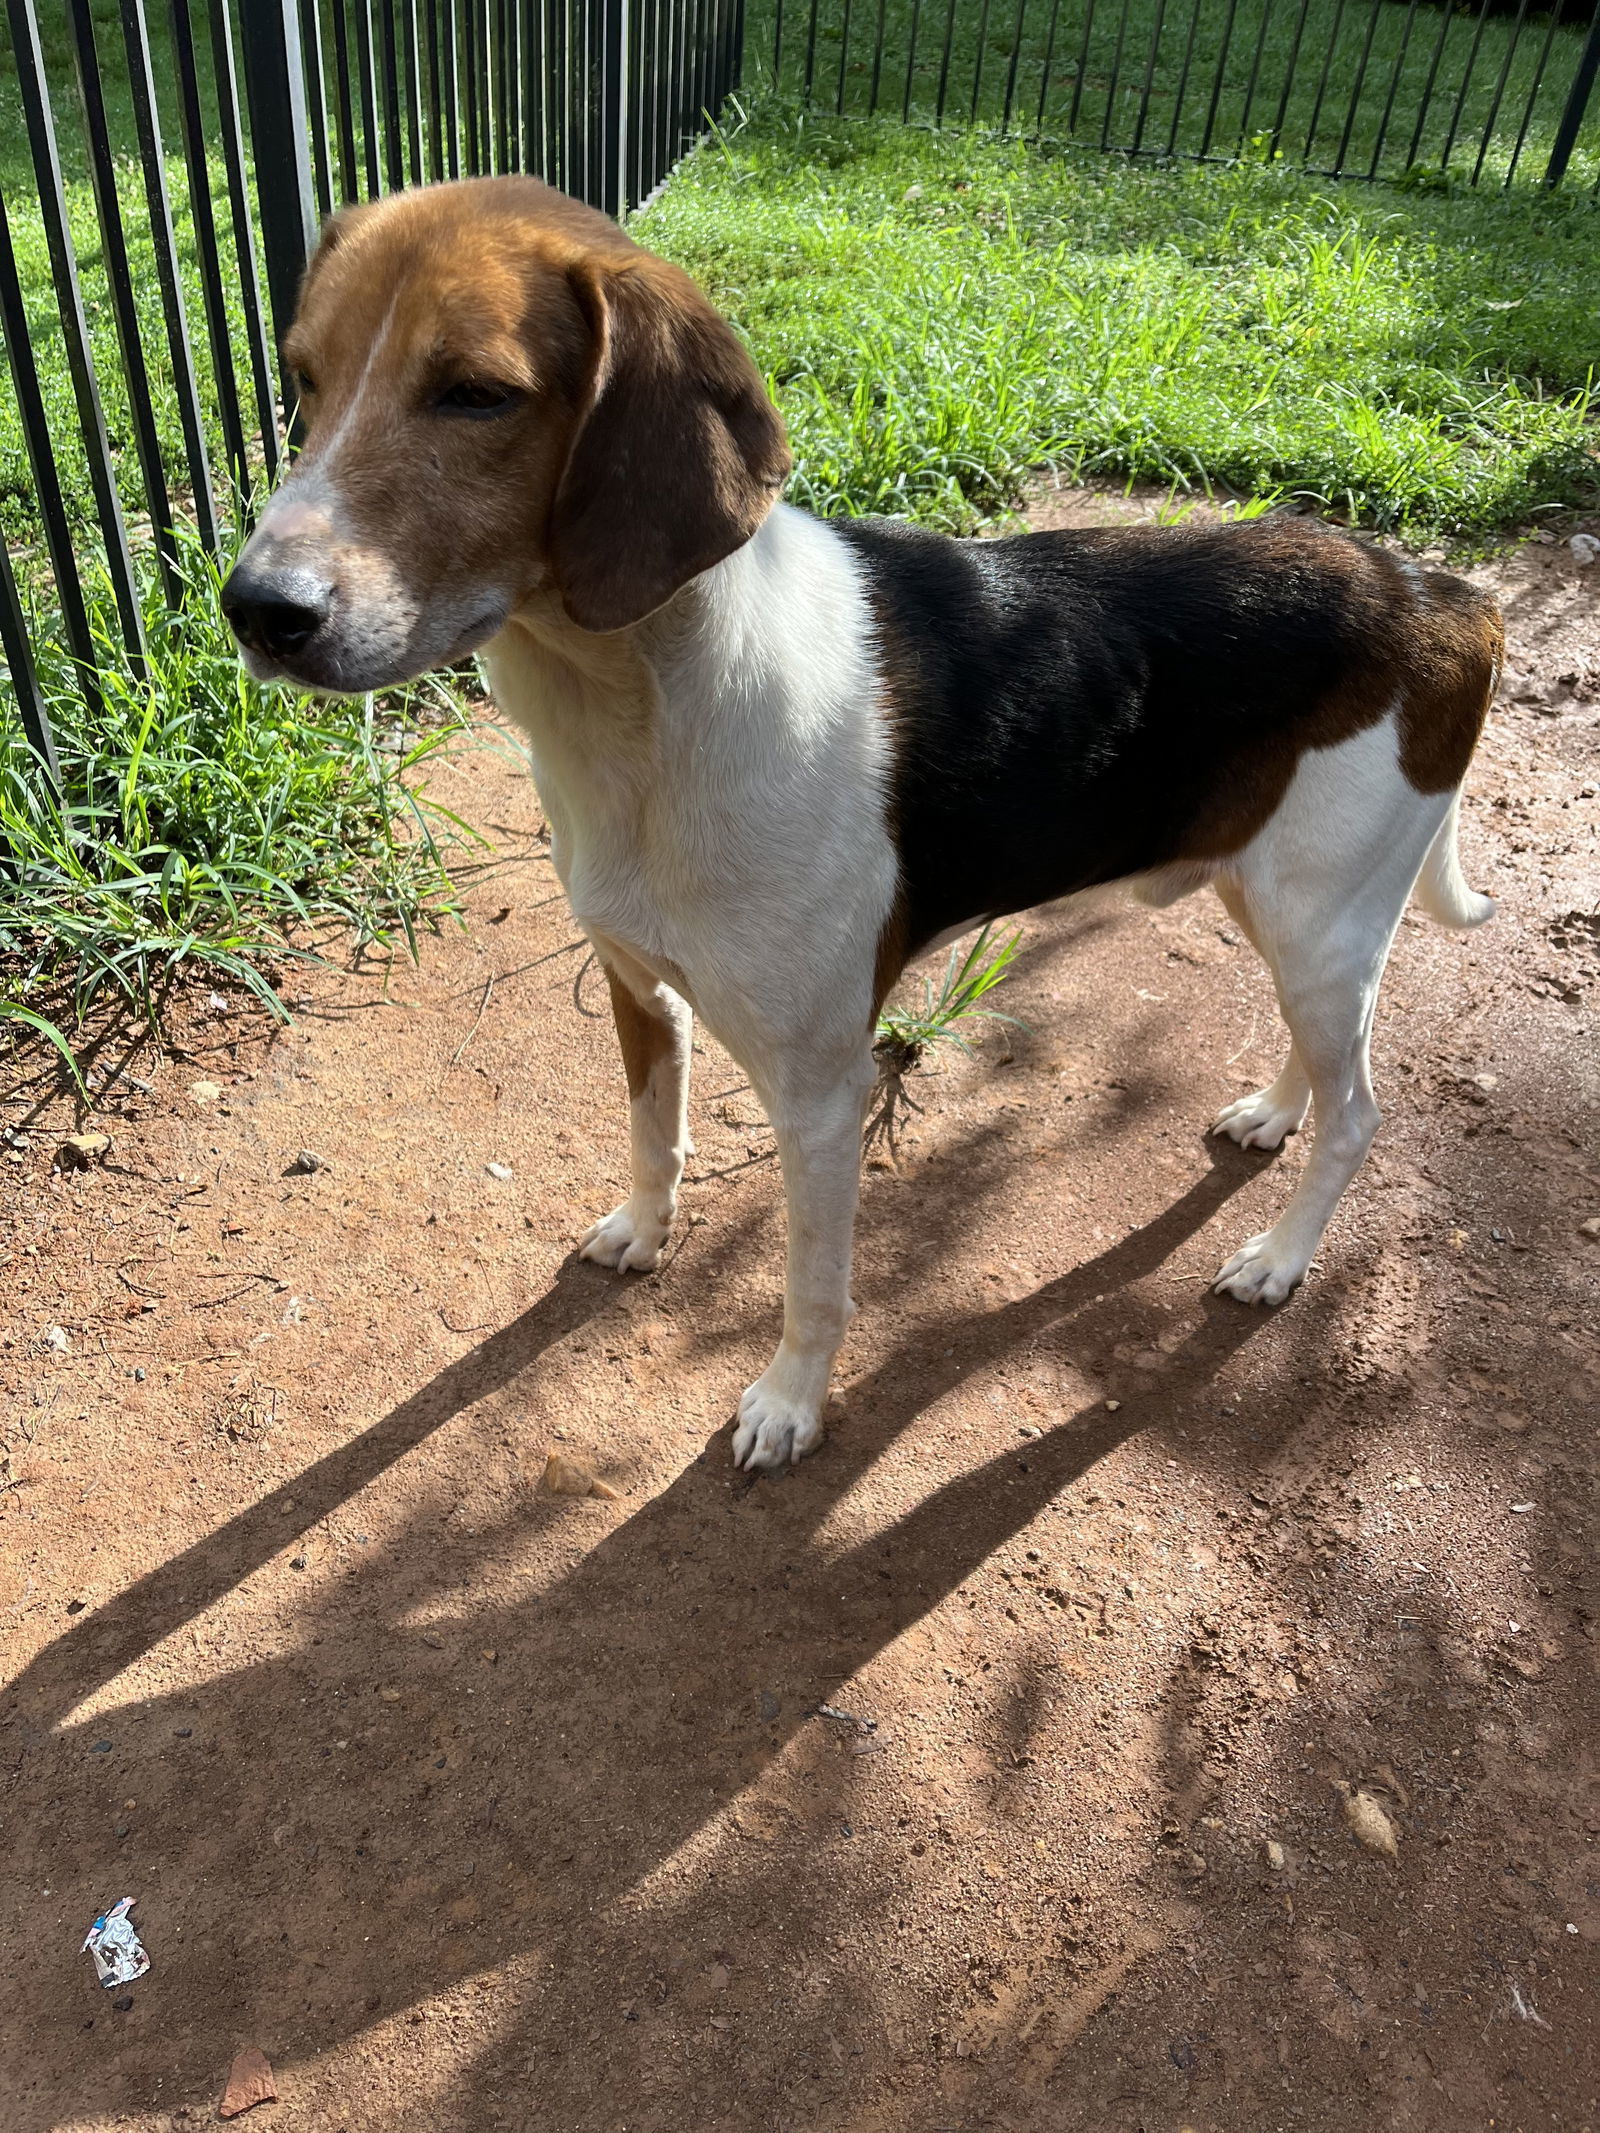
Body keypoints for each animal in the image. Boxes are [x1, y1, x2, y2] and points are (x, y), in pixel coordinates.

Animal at [222, 174, 1501, 1476]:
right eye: (304, 379)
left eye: (476, 394)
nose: (256, 610)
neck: (647, 704)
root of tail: (1436, 592)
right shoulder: (638, 987)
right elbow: (652, 1136)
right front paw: (644, 1232)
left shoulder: (820, 1088)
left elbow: (812, 1285)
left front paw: (789, 1405)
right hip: (1278, 909)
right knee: (1321, 1067)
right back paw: (1273, 1114)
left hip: (1320, 921)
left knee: (1359, 1114)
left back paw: (1279, 1259)